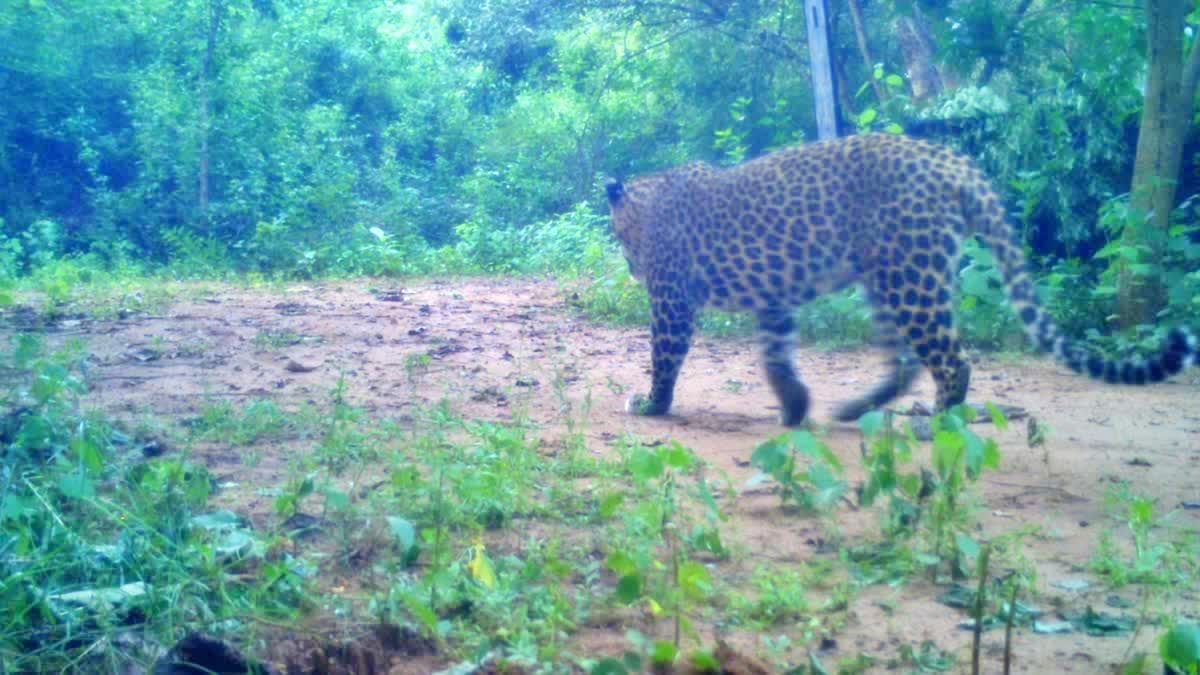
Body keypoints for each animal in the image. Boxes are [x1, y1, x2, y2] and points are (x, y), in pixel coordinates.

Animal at [609, 133, 1200, 422]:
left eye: (617, 238)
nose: (631, 268)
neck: (645, 197)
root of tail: (955, 163)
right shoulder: (775, 299)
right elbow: (776, 356)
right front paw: (795, 407)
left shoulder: (671, 300)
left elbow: (664, 356)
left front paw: (653, 405)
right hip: (889, 278)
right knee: (908, 360)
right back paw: (855, 409)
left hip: (909, 277)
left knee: (952, 360)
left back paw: (933, 423)